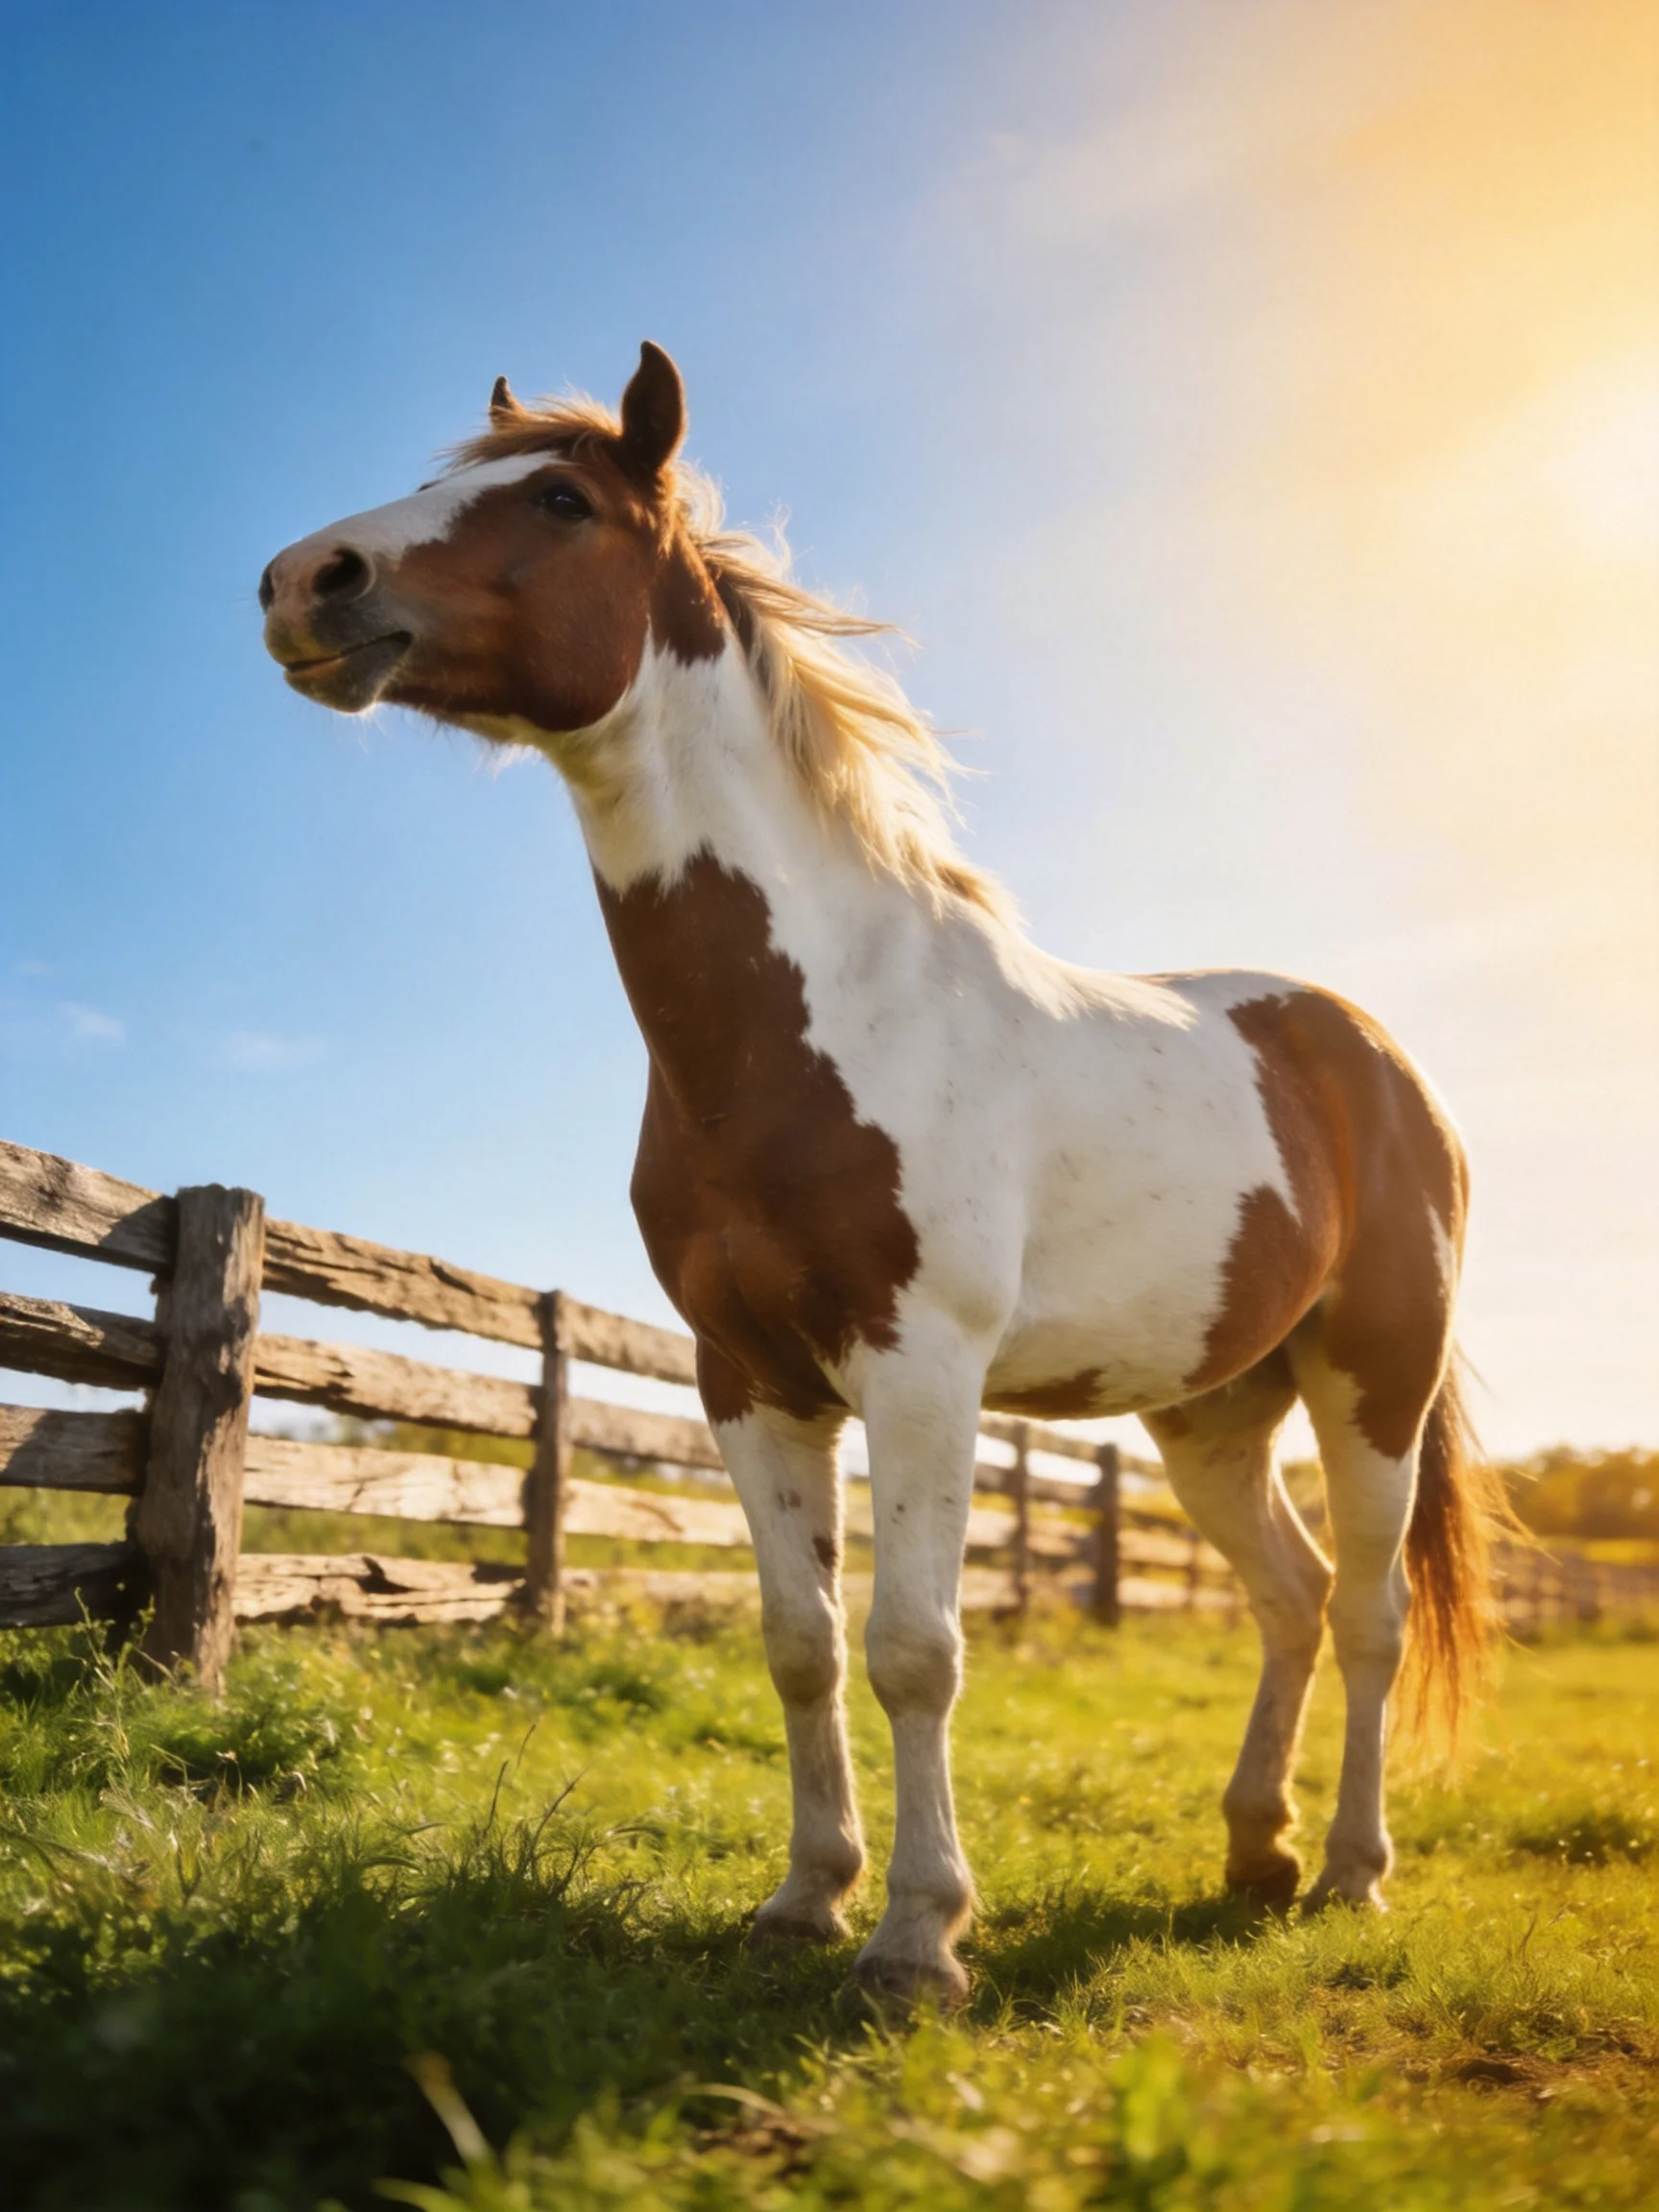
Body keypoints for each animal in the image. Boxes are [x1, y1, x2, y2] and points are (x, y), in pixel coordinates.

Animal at [260, 342, 1499, 2006]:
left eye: (564, 499)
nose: (303, 581)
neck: (820, 1018)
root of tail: (1371, 1054)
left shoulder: (920, 1372)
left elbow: (916, 1648)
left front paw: (918, 1938)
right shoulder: (750, 1380)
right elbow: (799, 1644)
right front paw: (804, 1899)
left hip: (1375, 1381)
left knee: (1366, 1613)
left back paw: (1356, 1871)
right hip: (1211, 1410)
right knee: (1289, 1598)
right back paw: (1257, 1850)